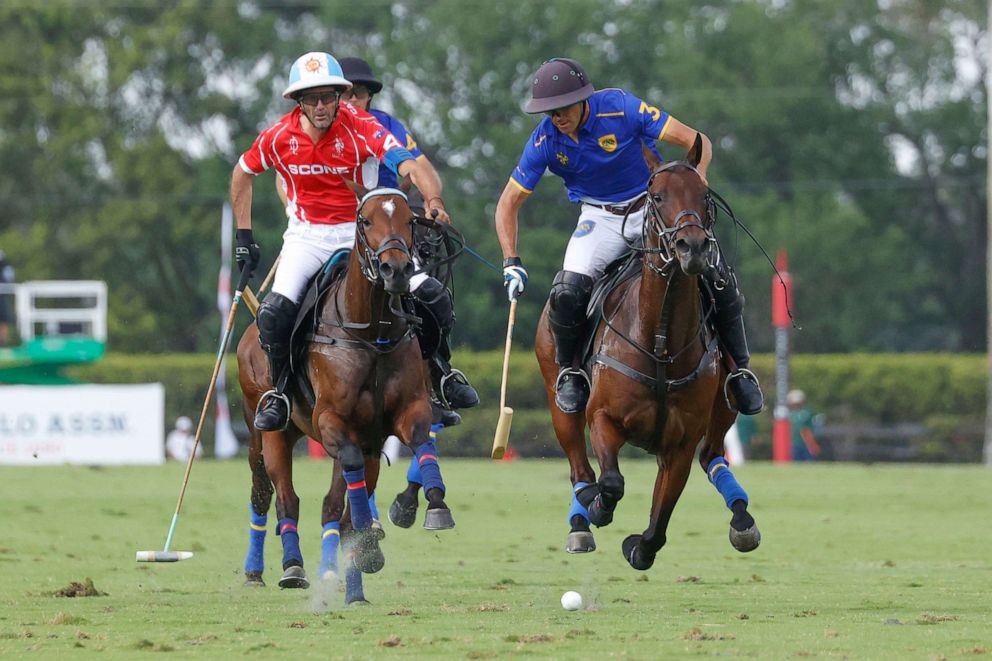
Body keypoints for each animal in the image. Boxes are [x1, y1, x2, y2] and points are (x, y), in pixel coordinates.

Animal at [238, 188, 456, 592]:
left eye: (410, 220)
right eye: (365, 220)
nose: (397, 270)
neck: (373, 332)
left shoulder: (404, 413)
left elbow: (421, 440)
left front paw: (431, 507)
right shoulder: (332, 421)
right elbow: (341, 483)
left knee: (331, 503)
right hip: (268, 433)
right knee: (277, 496)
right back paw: (284, 568)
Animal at [536, 141, 760, 572]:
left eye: (704, 195)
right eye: (657, 197)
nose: (693, 247)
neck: (661, 343)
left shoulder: (680, 444)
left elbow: (660, 521)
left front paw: (638, 547)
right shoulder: (603, 418)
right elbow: (610, 482)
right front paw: (598, 507)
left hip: (725, 406)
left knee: (714, 455)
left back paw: (742, 517)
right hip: (559, 399)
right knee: (578, 464)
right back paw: (581, 520)